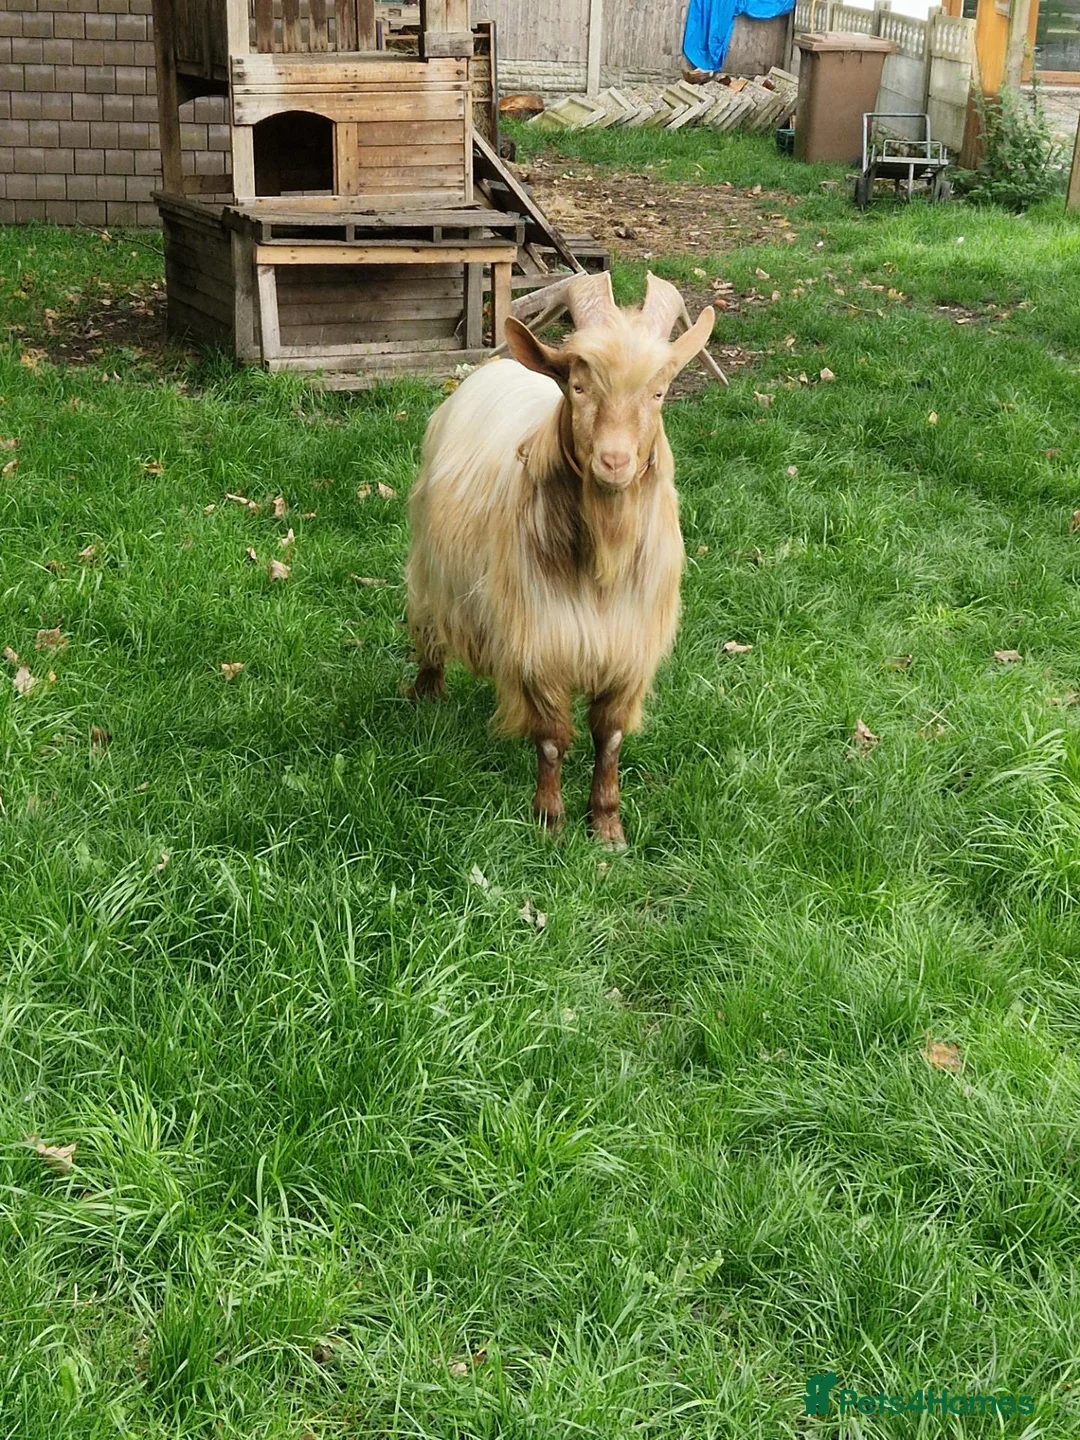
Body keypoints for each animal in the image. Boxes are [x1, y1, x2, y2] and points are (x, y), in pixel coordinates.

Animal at [405, 272, 715, 848]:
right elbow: (550, 739)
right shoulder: (542, 640)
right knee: (429, 628)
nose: (614, 461)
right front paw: (549, 822)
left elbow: (609, 739)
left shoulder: (627, 650)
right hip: (429, 567)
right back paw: (427, 693)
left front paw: (608, 826)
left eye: (659, 391)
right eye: (578, 385)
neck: (601, 563)